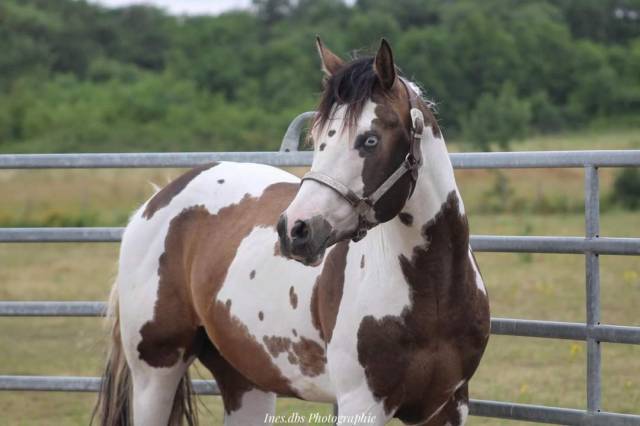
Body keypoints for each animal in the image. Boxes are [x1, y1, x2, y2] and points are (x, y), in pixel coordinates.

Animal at [92, 38, 490, 424]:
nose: (294, 230)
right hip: (155, 374)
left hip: (244, 380)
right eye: (318, 139)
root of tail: (154, 202)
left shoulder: (449, 405)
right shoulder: (362, 404)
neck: (430, 293)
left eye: (370, 140)